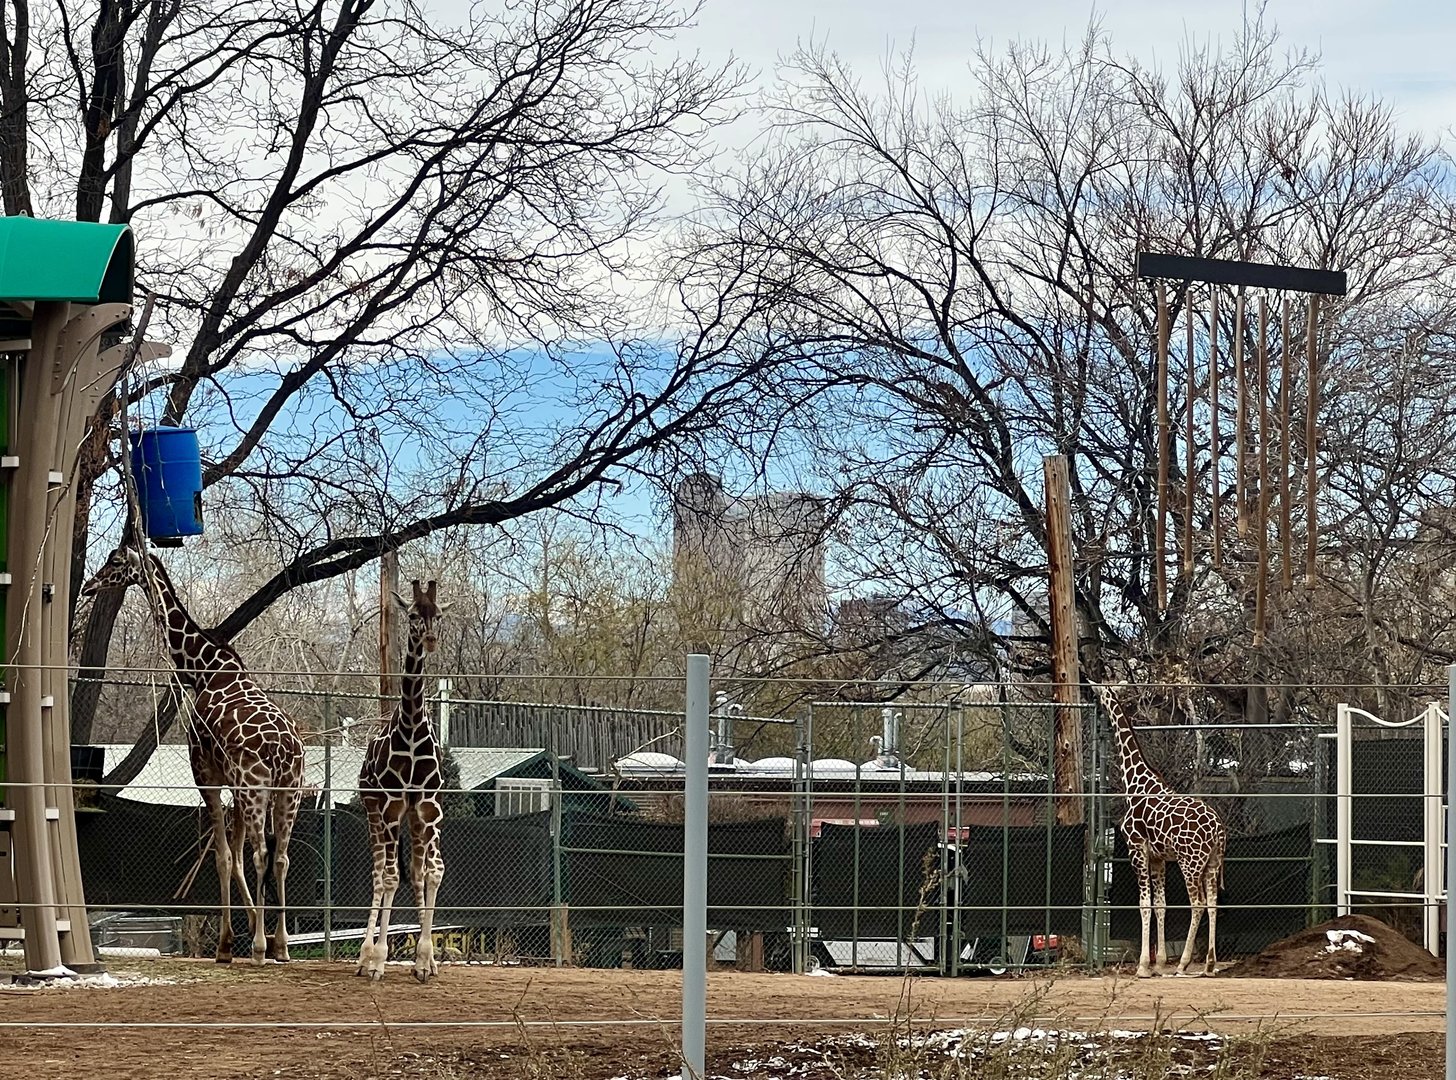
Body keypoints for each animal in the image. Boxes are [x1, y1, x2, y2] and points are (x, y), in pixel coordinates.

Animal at [82, 544, 305, 964]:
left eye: (115, 561)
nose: (89, 586)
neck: (203, 667)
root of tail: (283, 750)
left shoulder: (206, 774)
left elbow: (222, 857)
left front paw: (226, 945)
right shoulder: (231, 785)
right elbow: (232, 857)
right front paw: (251, 931)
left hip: (257, 790)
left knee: (261, 854)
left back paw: (259, 948)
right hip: (289, 791)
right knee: (281, 856)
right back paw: (281, 946)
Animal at [1090, 680, 1227, 978]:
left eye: (1100, 691)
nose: (1092, 694)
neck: (1135, 783)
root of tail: (1218, 830)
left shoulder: (1136, 848)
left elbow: (1144, 904)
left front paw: (1144, 966)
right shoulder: (1158, 857)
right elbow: (1161, 905)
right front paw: (1160, 962)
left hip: (1190, 862)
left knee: (1198, 903)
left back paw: (1185, 963)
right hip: (1212, 862)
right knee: (1213, 902)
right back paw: (1209, 963)